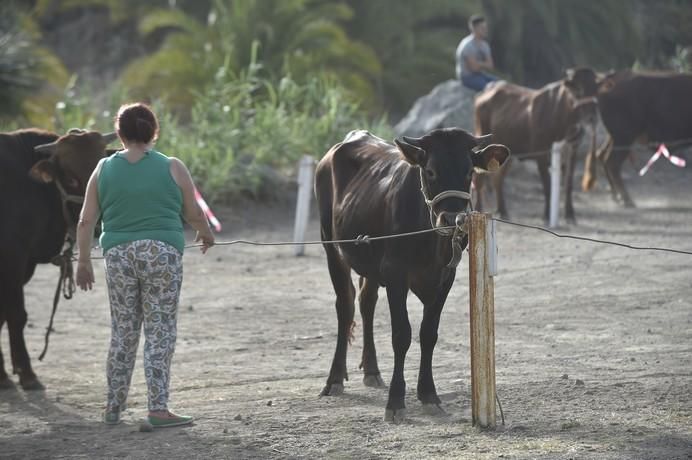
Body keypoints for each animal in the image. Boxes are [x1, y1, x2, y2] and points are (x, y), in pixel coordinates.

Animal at [0, 127, 116, 390]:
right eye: (71, 179)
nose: (95, 222)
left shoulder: (24, 264)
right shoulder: (13, 257)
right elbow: (16, 314)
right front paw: (26, 373)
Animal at [314, 127, 508, 422]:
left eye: (469, 172)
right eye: (430, 171)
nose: (452, 219)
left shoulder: (445, 278)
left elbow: (428, 334)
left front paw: (429, 395)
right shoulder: (396, 274)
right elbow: (401, 335)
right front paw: (395, 401)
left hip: (370, 262)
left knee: (366, 301)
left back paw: (372, 371)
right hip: (331, 246)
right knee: (345, 305)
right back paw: (334, 379)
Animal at [474, 68, 596, 223]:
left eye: (596, 88)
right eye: (578, 90)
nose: (592, 116)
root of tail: (485, 92)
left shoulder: (573, 150)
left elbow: (568, 184)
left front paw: (570, 215)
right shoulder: (541, 153)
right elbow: (547, 185)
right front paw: (547, 215)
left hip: (507, 152)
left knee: (498, 179)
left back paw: (503, 211)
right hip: (482, 139)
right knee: (480, 178)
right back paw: (479, 210)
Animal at [584, 70, 692, 207]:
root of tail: (611, 80)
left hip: (615, 138)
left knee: (601, 156)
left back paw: (616, 196)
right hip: (624, 138)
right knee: (612, 163)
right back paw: (627, 200)